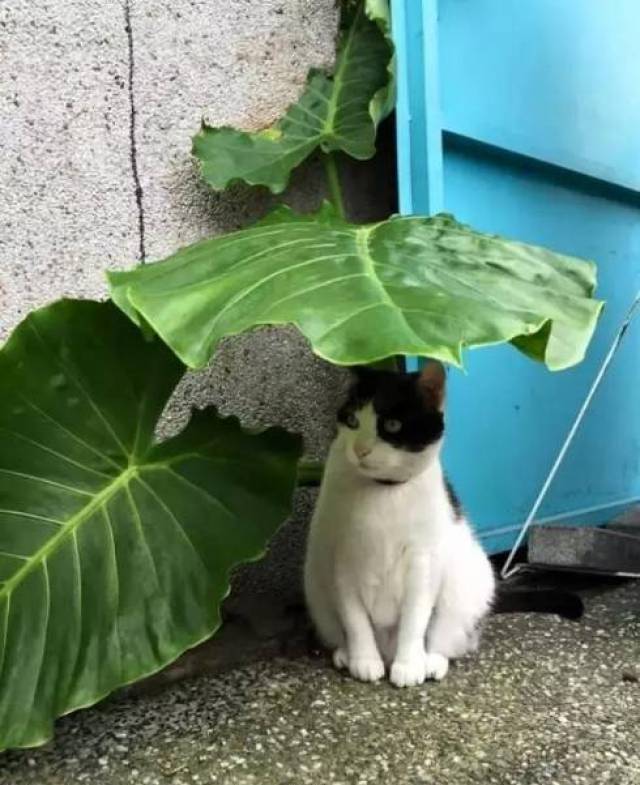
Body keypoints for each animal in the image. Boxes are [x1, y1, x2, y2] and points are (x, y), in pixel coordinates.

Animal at [304, 362, 496, 688]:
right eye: (352, 420)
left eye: (392, 425)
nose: (360, 449)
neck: (384, 491)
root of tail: (387, 651)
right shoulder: (342, 558)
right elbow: (354, 619)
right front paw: (364, 660)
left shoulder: (423, 560)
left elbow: (415, 618)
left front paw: (409, 665)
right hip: (316, 587)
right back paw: (346, 654)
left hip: (467, 587)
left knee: (448, 637)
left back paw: (430, 661)